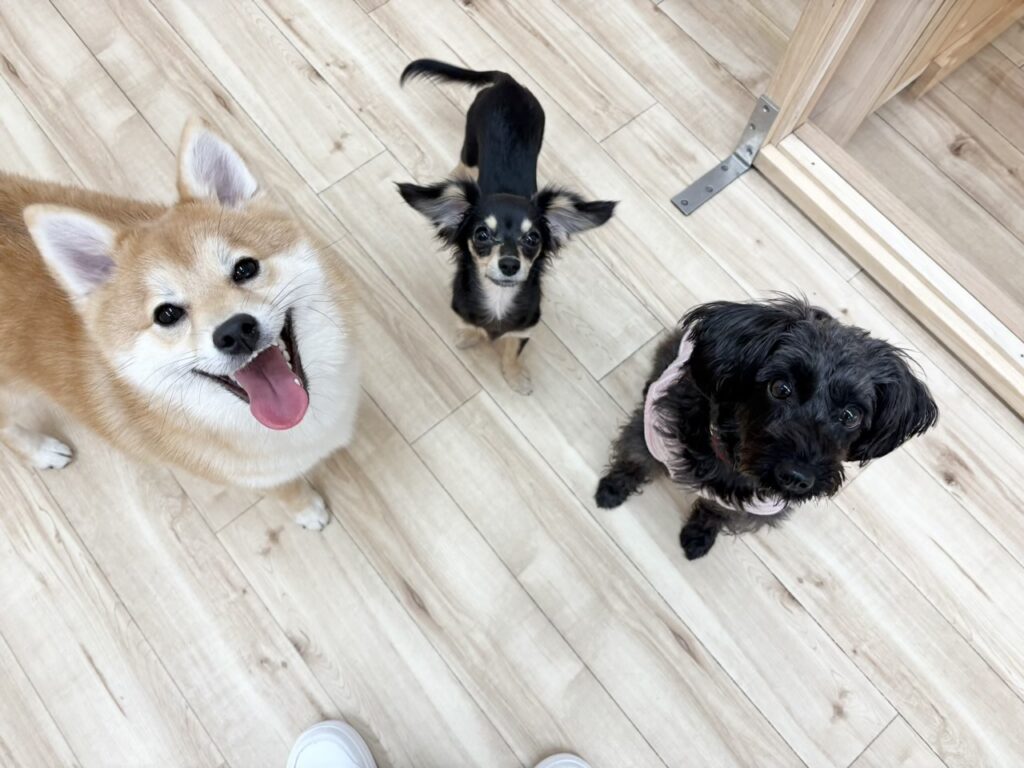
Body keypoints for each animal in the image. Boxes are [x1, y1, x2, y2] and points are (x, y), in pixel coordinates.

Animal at [0, 118, 360, 529]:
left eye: (245, 268)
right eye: (167, 314)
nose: (234, 331)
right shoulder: (256, 477)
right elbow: (286, 490)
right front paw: (306, 510)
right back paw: (41, 451)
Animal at [396, 59, 616, 395]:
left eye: (533, 239)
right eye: (481, 234)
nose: (510, 264)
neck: (499, 297)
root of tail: (508, 82)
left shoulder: (525, 328)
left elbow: (513, 349)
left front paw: (515, 376)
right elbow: (473, 327)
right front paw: (468, 337)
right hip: (471, 141)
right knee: (464, 163)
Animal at [596, 297, 938, 559]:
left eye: (851, 415)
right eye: (780, 388)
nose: (797, 477)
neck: (733, 462)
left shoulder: (755, 509)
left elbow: (717, 512)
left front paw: (699, 535)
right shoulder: (651, 437)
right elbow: (634, 462)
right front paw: (612, 489)